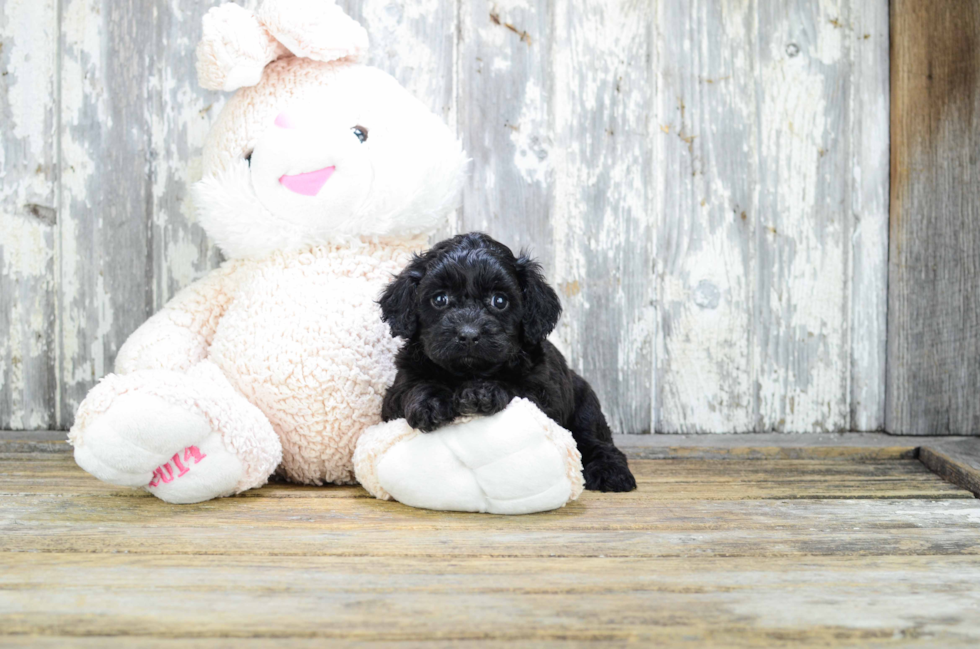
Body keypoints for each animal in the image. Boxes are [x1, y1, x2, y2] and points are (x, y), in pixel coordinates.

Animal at [376, 233, 636, 492]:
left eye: (499, 301)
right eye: (440, 299)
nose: (468, 334)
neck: (466, 373)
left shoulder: (543, 394)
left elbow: (517, 388)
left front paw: (483, 392)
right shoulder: (395, 395)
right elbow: (415, 387)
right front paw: (430, 403)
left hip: (586, 408)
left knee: (595, 441)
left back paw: (611, 472)